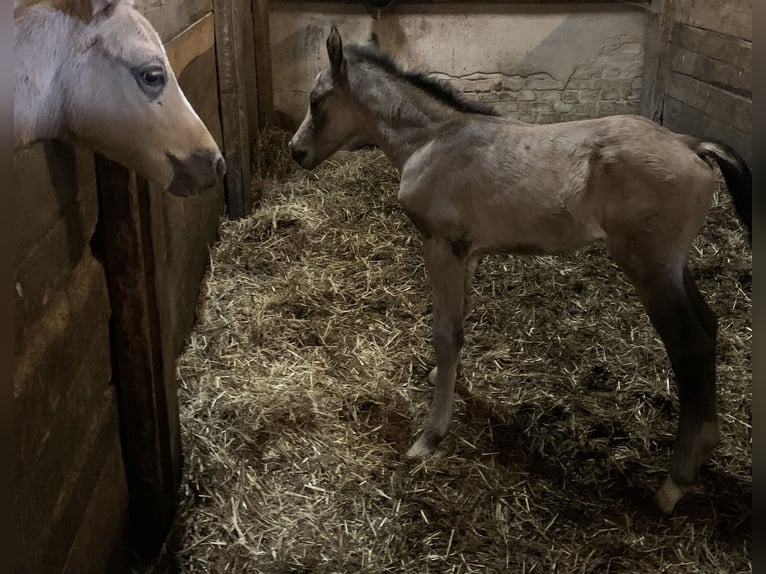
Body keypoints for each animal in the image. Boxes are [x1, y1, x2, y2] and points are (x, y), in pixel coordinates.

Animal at [290, 27, 756, 516]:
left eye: (317, 100)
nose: (295, 151)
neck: (431, 141)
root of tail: (690, 143)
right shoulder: (467, 253)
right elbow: (460, 323)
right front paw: (442, 380)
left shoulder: (441, 246)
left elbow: (445, 333)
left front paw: (430, 437)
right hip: (672, 266)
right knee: (709, 327)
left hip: (650, 267)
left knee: (690, 344)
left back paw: (674, 482)